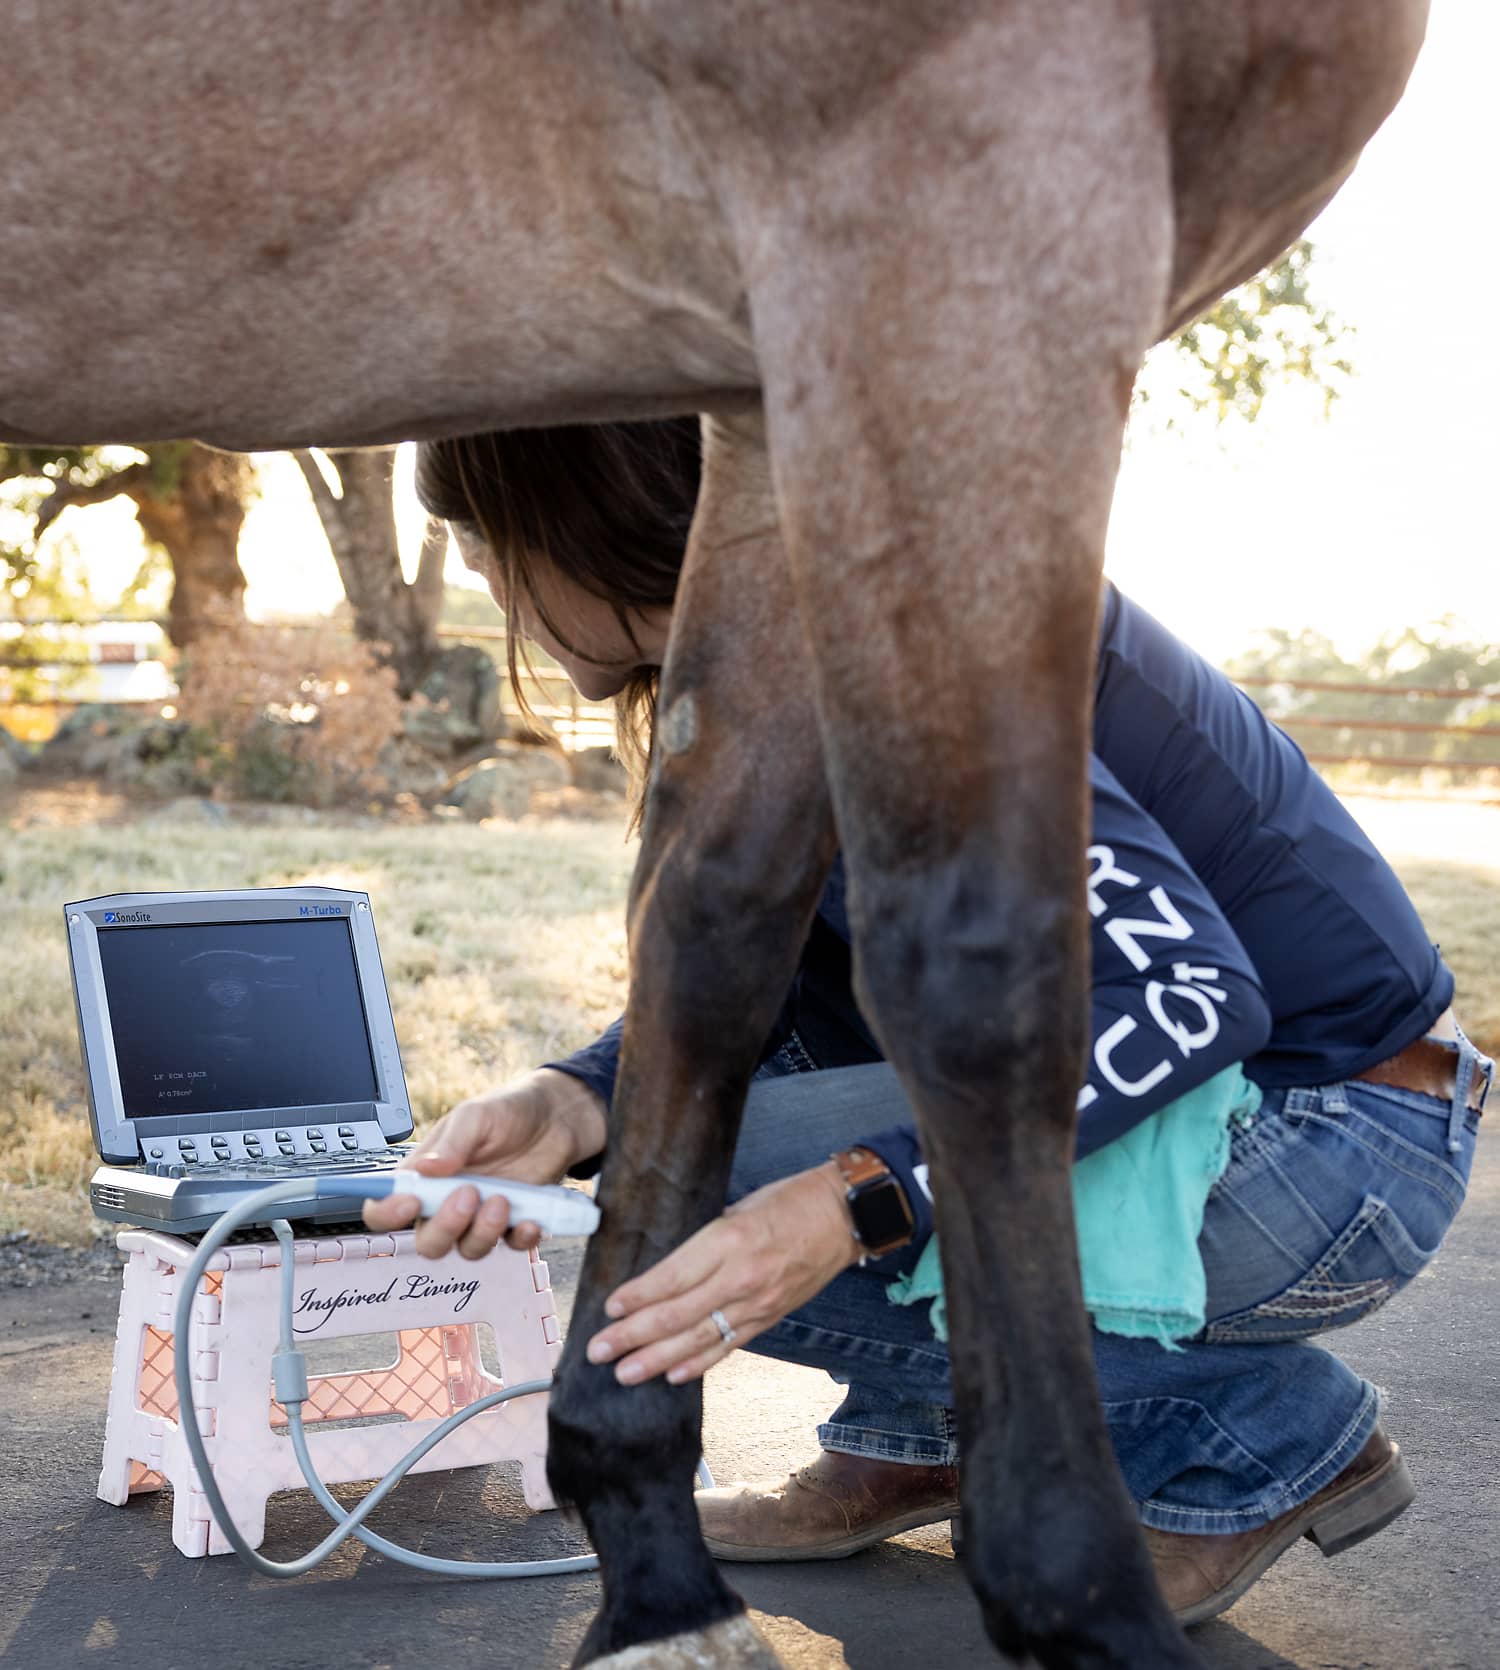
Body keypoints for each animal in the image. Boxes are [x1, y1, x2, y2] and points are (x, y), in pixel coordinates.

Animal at [0, 6, 1429, 1663]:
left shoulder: (765, 393)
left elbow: (710, 930)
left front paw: (652, 1553)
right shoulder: (958, 256)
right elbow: (984, 974)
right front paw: (1078, 1595)